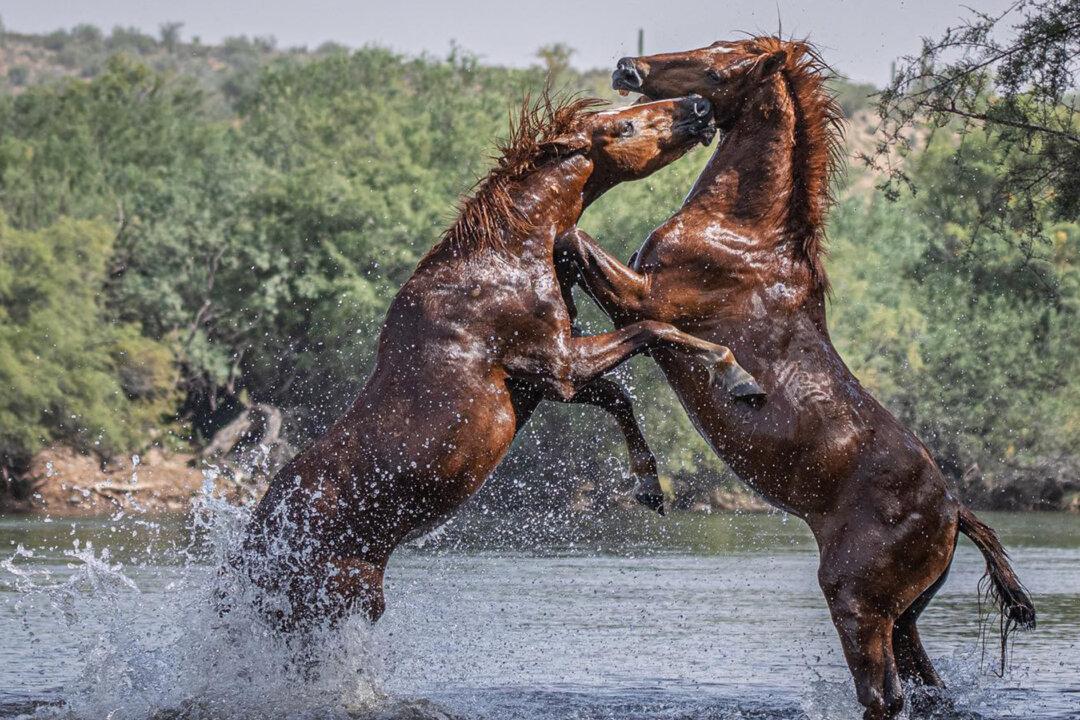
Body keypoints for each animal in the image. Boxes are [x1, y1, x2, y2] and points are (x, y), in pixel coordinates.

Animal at [238, 92, 765, 632]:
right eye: (626, 127)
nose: (698, 106)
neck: (511, 255)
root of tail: (254, 552)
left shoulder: (544, 380)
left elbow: (619, 395)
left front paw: (649, 487)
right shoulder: (557, 364)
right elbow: (655, 330)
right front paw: (738, 375)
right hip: (337, 602)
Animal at [557, 37, 1036, 719]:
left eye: (717, 60)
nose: (630, 67)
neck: (742, 233)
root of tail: (954, 512)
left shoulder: (642, 296)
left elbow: (571, 240)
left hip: (856, 603)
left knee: (884, 696)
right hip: (904, 618)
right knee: (924, 689)